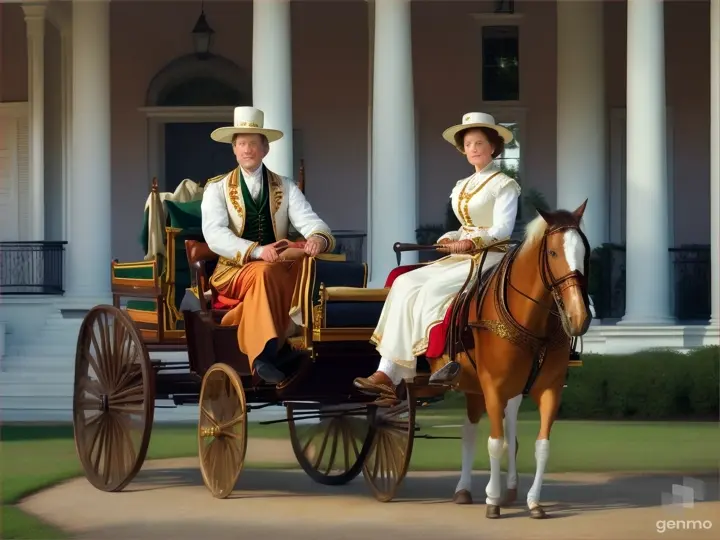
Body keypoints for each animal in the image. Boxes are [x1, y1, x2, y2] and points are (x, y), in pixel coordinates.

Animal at [444, 201, 592, 520]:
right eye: (553, 253)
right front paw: (492, 500)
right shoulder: (492, 385)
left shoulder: (549, 389)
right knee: (473, 430)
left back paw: (500, 489)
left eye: (585, 251)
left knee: (494, 427)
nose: (578, 317)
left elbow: (541, 445)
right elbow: (495, 443)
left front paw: (533, 502)